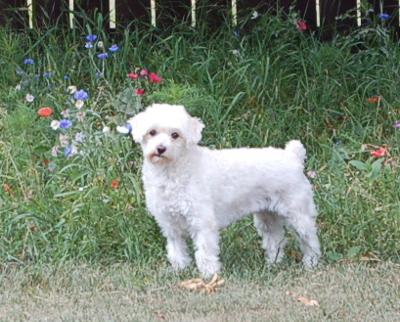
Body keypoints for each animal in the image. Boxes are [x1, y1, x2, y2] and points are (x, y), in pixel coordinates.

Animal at [129, 104, 322, 276]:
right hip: (268, 217)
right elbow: (176, 251)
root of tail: (293, 156)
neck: (172, 171)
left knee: (310, 239)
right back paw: (273, 263)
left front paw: (209, 274)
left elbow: (205, 251)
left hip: (298, 215)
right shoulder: (170, 225)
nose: (160, 149)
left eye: (175, 135)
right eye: (152, 132)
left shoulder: (202, 222)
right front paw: (179, 270)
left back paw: (311, 263)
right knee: (275, 239)